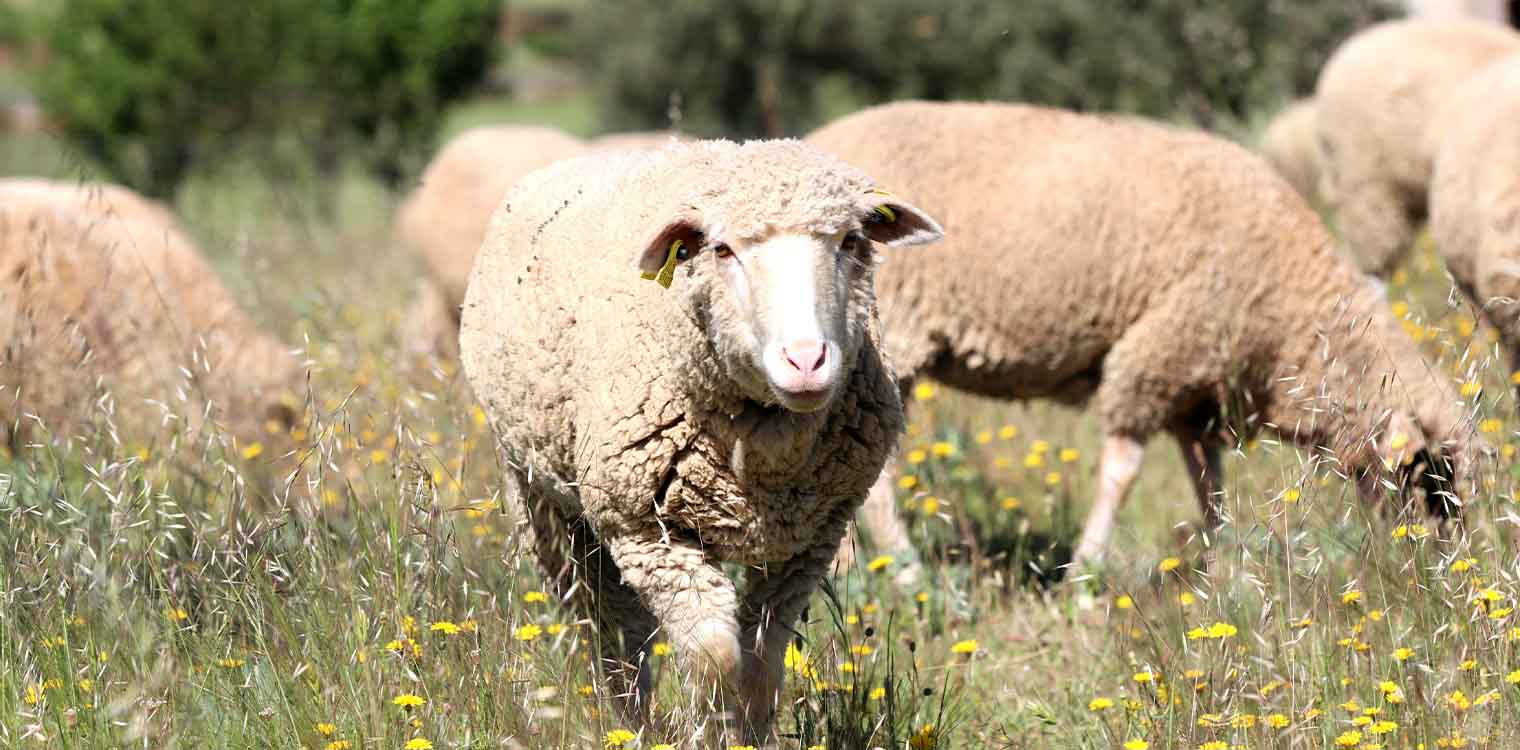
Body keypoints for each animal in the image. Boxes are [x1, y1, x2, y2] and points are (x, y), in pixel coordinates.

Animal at [456, 137, 942, 739]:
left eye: (851, 242)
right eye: (723, 250)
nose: (806, 362)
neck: (764, 451)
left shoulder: (806, 543)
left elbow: (761, 663)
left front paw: (753, 738)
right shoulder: (649, 532)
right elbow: (713, 657)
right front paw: (713, 731)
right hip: (546, 501)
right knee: (615, 635)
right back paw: (634, 728)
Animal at [814, 101, 1477, 565]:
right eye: (1431, 475)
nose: (1444, 568)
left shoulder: (1198, 387)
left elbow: (1210, 482)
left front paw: (1222, 562)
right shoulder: (1158, 355)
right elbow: (1123, 470)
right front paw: (1086, 570)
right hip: (887, 337)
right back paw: (901, 568)